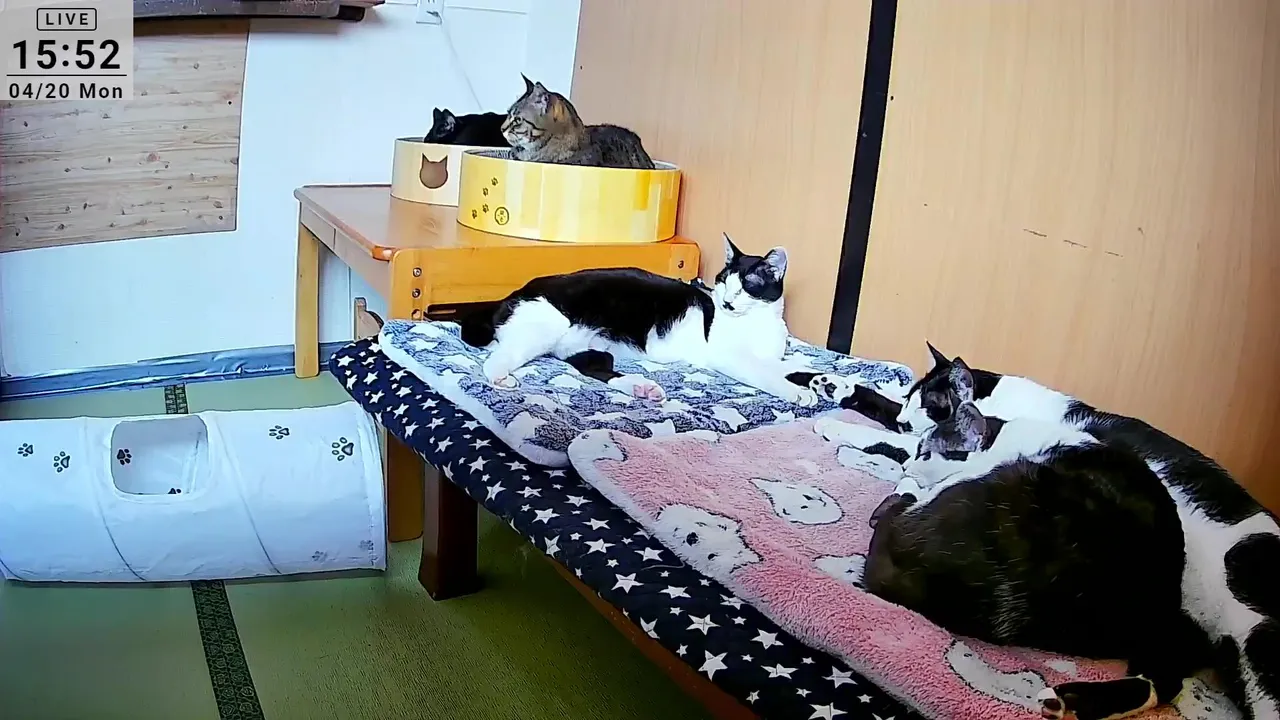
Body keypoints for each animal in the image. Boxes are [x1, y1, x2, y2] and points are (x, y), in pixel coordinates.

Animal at [456, 233, 818, 407]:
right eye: (723, 283)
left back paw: (641, 387)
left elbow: (783, 366)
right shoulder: (728, 357)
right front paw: (797, 392)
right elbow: (763, 373)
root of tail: (511, 295)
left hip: (585, 347)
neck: (759, 324)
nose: (727, 302)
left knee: (595, 368)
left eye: (746, 287)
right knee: (496, 358)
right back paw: (501, 378)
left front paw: (810, 376)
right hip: (548, 324)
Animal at [812, 344, 1280, 720]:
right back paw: (1071, 701)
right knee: (1163, 681)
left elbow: (904, 448)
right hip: (1170, 627)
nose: (910, 416)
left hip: (1256, 645)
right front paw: (835, 385)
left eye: (930, 401)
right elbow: (884, 409)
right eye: (912, 396)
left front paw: (841, 427)